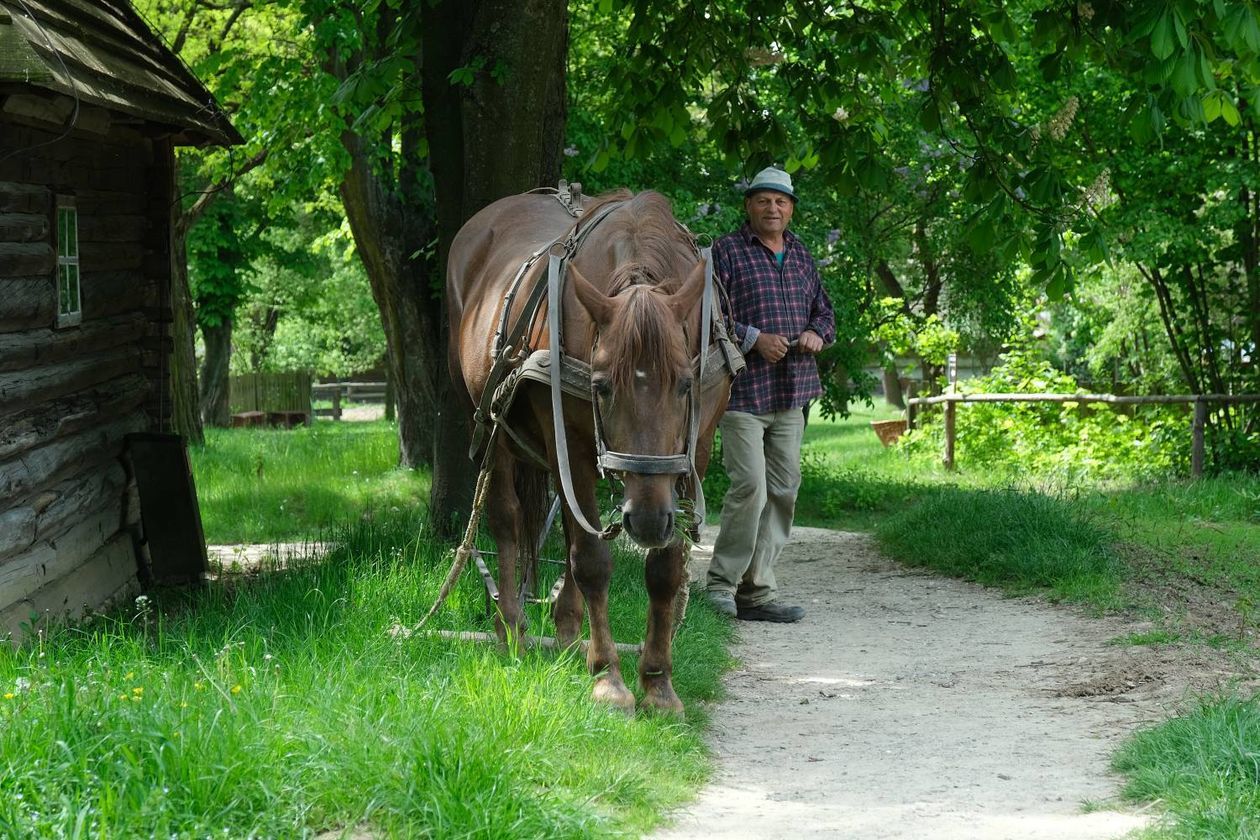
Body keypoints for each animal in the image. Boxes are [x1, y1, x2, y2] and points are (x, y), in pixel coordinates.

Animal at [446, 190, 735, 715]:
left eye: (685, 384)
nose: (646, 519)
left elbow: (666, 567)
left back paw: (566, 631)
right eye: (601, 386)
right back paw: (512, 628)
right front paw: (608, 679)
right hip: (492, 425)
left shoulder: (696, 450)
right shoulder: (571, 444)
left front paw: (658, 683)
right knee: (507, 517)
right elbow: (593, 561)